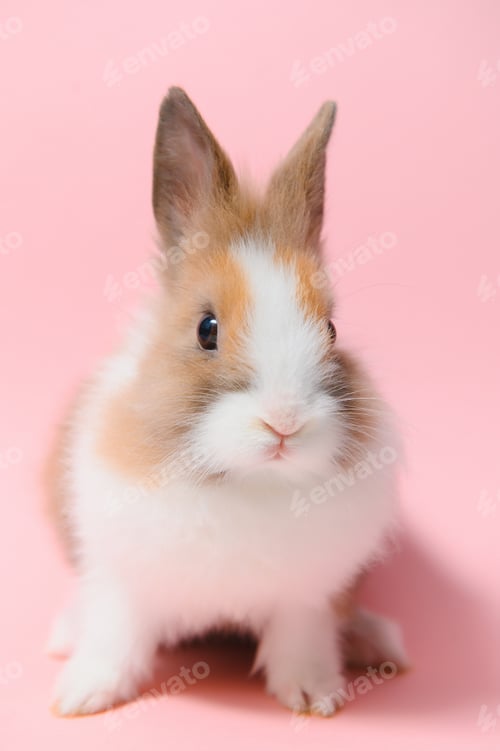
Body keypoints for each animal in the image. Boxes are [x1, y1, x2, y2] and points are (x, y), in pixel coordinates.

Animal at [46, 87, 408, 717]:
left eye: (332, 328)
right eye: (206, 329)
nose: (284, 422)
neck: (250, 483)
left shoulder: (309, 596)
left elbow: (302, 637)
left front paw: (313, 695)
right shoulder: (123, 577)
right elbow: (116, 632)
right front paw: (84, 694)